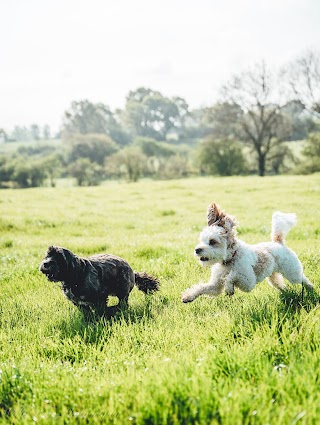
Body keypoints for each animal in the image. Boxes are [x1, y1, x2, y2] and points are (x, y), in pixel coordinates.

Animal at [181, 201, 314, 302]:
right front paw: (188, 296)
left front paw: (229, 288)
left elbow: (231, 276)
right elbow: (202, 287)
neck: (230, 260)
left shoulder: (248, 282)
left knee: (303, 279)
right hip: (273, 276)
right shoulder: (215, 286)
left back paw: (311, 289)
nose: (197, 250)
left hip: (292, 273)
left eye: (212, 241)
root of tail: (278, 242)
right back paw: (286, 292)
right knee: (280, 284)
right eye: (202, 240)